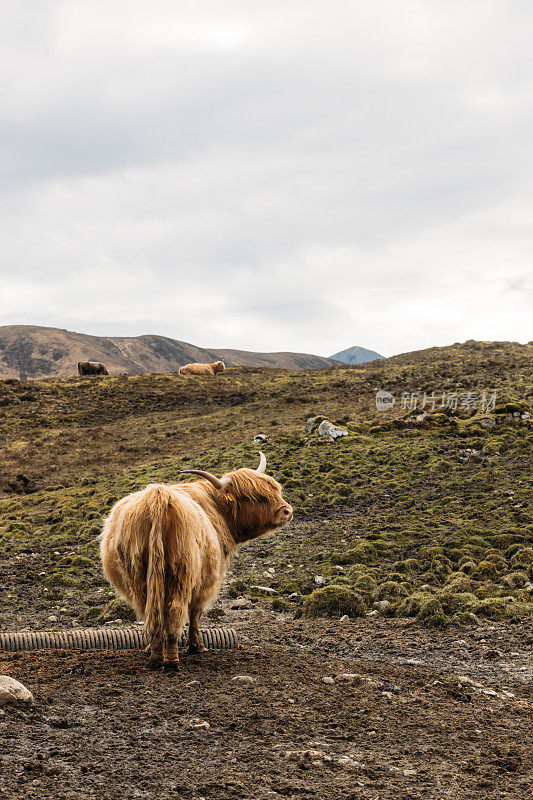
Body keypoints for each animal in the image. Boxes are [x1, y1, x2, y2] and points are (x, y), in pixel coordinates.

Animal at [100, 454, 290, 664]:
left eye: (274, 489)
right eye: (254, 497)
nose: (287, 511)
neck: (217, 508)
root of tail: (158, 495)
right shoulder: (206, 581)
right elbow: (195, 612)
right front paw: (196, 646)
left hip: (139, 575)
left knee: (149, 611)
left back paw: (155, 654)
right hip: (182, 572)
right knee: (176, 610)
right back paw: (172, 660)